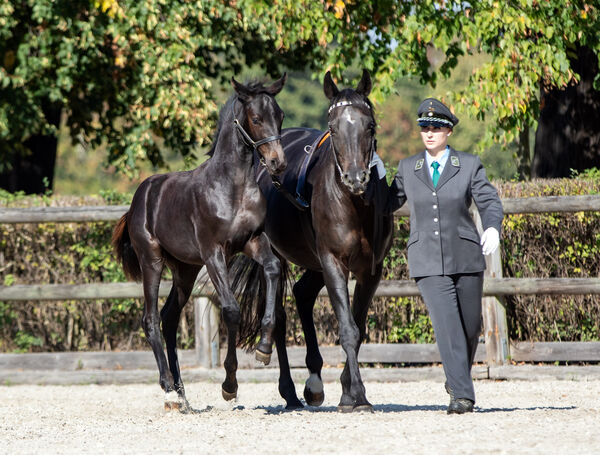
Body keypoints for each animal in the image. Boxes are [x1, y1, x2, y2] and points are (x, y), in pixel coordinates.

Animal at [115, 74, 290, 410]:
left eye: (281, 116)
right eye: (256, 118)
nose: (278, 163)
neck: (232, 188)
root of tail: (139, 198)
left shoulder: (252, 241)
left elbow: (273, 268)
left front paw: (263, 348)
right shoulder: (214, 254)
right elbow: (231, 310)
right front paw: (229, 386)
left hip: (185, 269)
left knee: (169, 318)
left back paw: (183, 394)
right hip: (152, 260)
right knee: (150, 319)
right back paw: (169, 391)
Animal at [233, 70, 394, 414]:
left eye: (370, 125)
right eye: (333, 127)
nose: (355, 179)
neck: (353, 204)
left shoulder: (370, 271)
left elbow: (358, 328)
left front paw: (348, 392)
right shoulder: (333, 262)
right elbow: (347, 329)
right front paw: (357, 394)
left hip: (314, 262)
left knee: (303, 294)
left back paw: (314, 384)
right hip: (280, 254)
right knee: (280, 315)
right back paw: (291, 392)